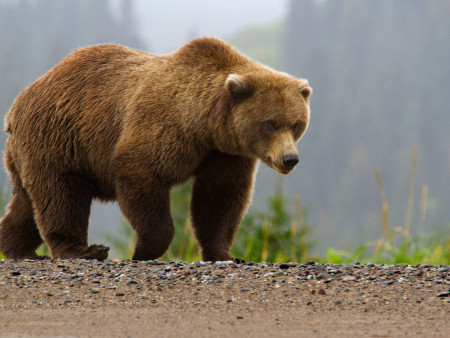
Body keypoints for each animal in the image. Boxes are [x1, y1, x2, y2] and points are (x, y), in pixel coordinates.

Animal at [0, 38, 310, 262]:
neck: (206, 125)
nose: (290, 159)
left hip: (31, 151)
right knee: (61, 196)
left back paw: (17, 248)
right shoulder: (163, 126)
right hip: (58, 138)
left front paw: (225, 254)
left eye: (296, 124)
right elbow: (141, 174)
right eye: (270, 123)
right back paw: (82, 251)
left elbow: (220, 198)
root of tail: (17, 104)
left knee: (27, 202)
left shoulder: (225, 153)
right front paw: (143, 250)